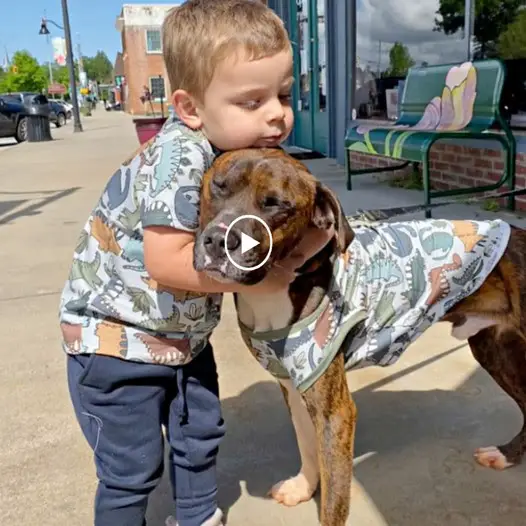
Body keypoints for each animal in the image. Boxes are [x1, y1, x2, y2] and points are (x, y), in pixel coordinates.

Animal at [193, 148, 526, 526]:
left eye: (276, 205)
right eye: (219, 186)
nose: (220, 240)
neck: (284, 283)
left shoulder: (334, 411)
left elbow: (334, 495)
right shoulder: (294, 384)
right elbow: (306, 444)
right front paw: (303, 487)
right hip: (493, 348)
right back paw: (506, 454)